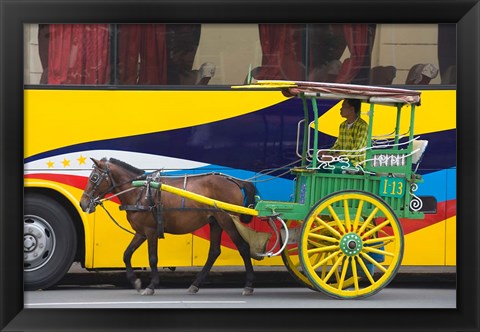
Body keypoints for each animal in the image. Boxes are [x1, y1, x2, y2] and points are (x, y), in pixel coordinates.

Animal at [81, 158, 258, 296]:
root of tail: (234, 181)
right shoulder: (141, 232)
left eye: (94, 177)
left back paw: (249, 284)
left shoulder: (150, 231)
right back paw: (195, 284)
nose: (83, 203)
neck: (140, 192)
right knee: (214, 252)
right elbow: (126, 254)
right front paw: (135, 281)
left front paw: (151, 285)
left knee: (243, 247)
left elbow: (152, 258)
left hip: (227, 220)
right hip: (215, 221)